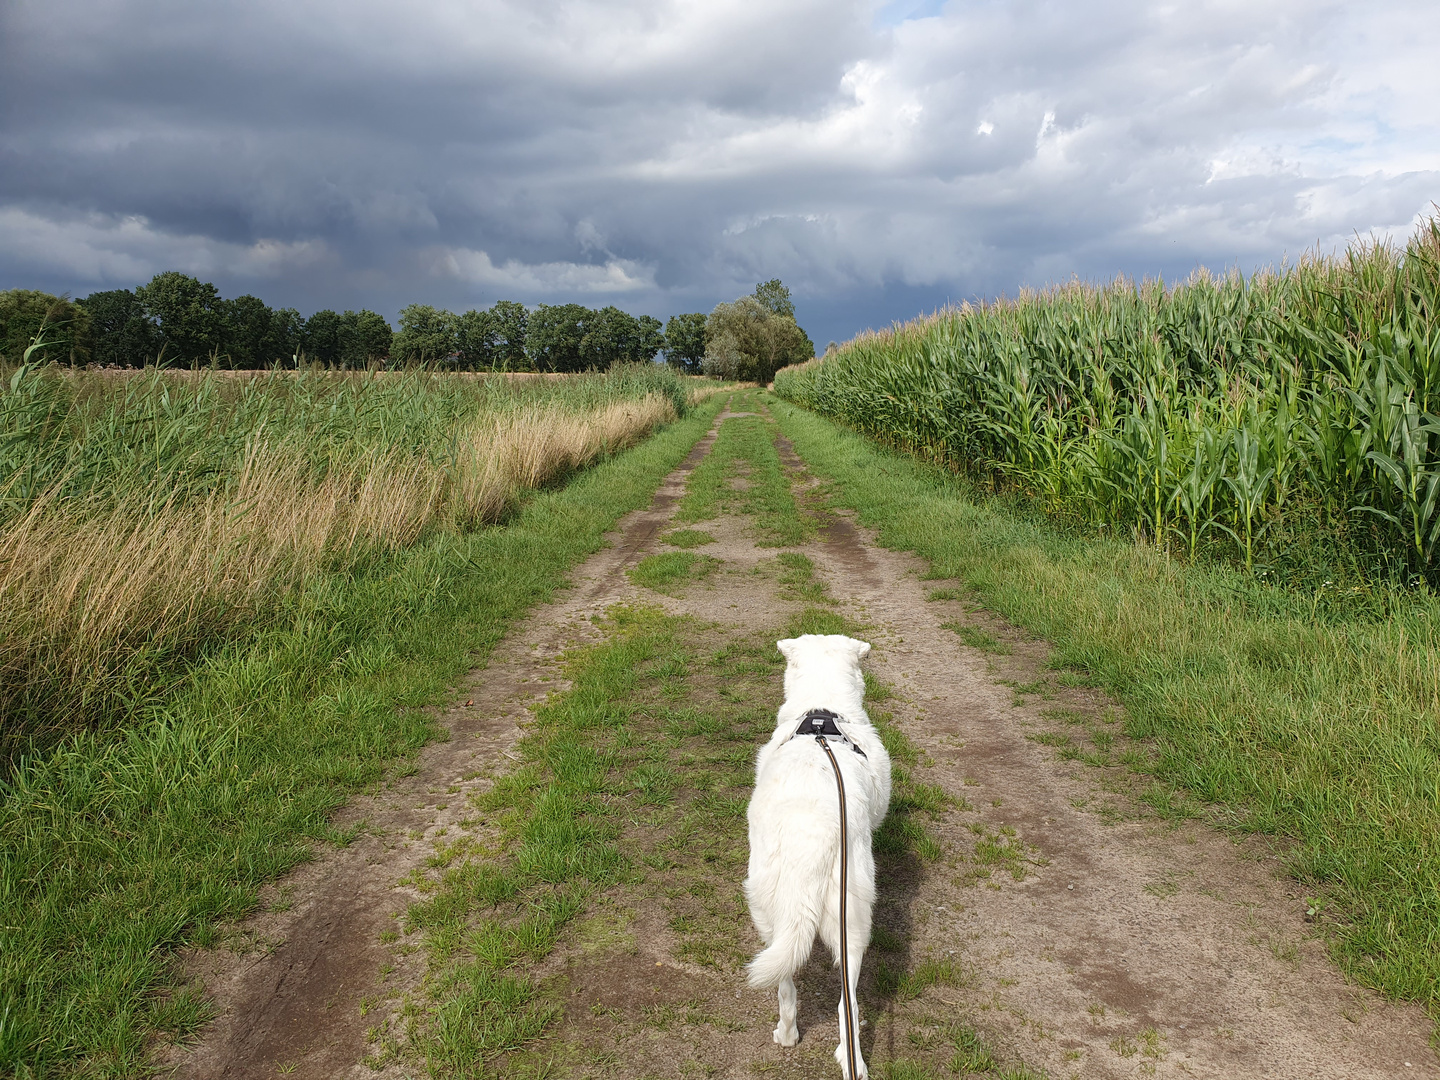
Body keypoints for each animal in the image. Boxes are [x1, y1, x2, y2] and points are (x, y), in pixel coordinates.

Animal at [743, 633, 887, 1080]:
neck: (822, 715)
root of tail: (811, 842)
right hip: (852, 919)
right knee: (846, 1003)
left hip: (772, 913)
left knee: (788, 985)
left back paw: (791, 1035)